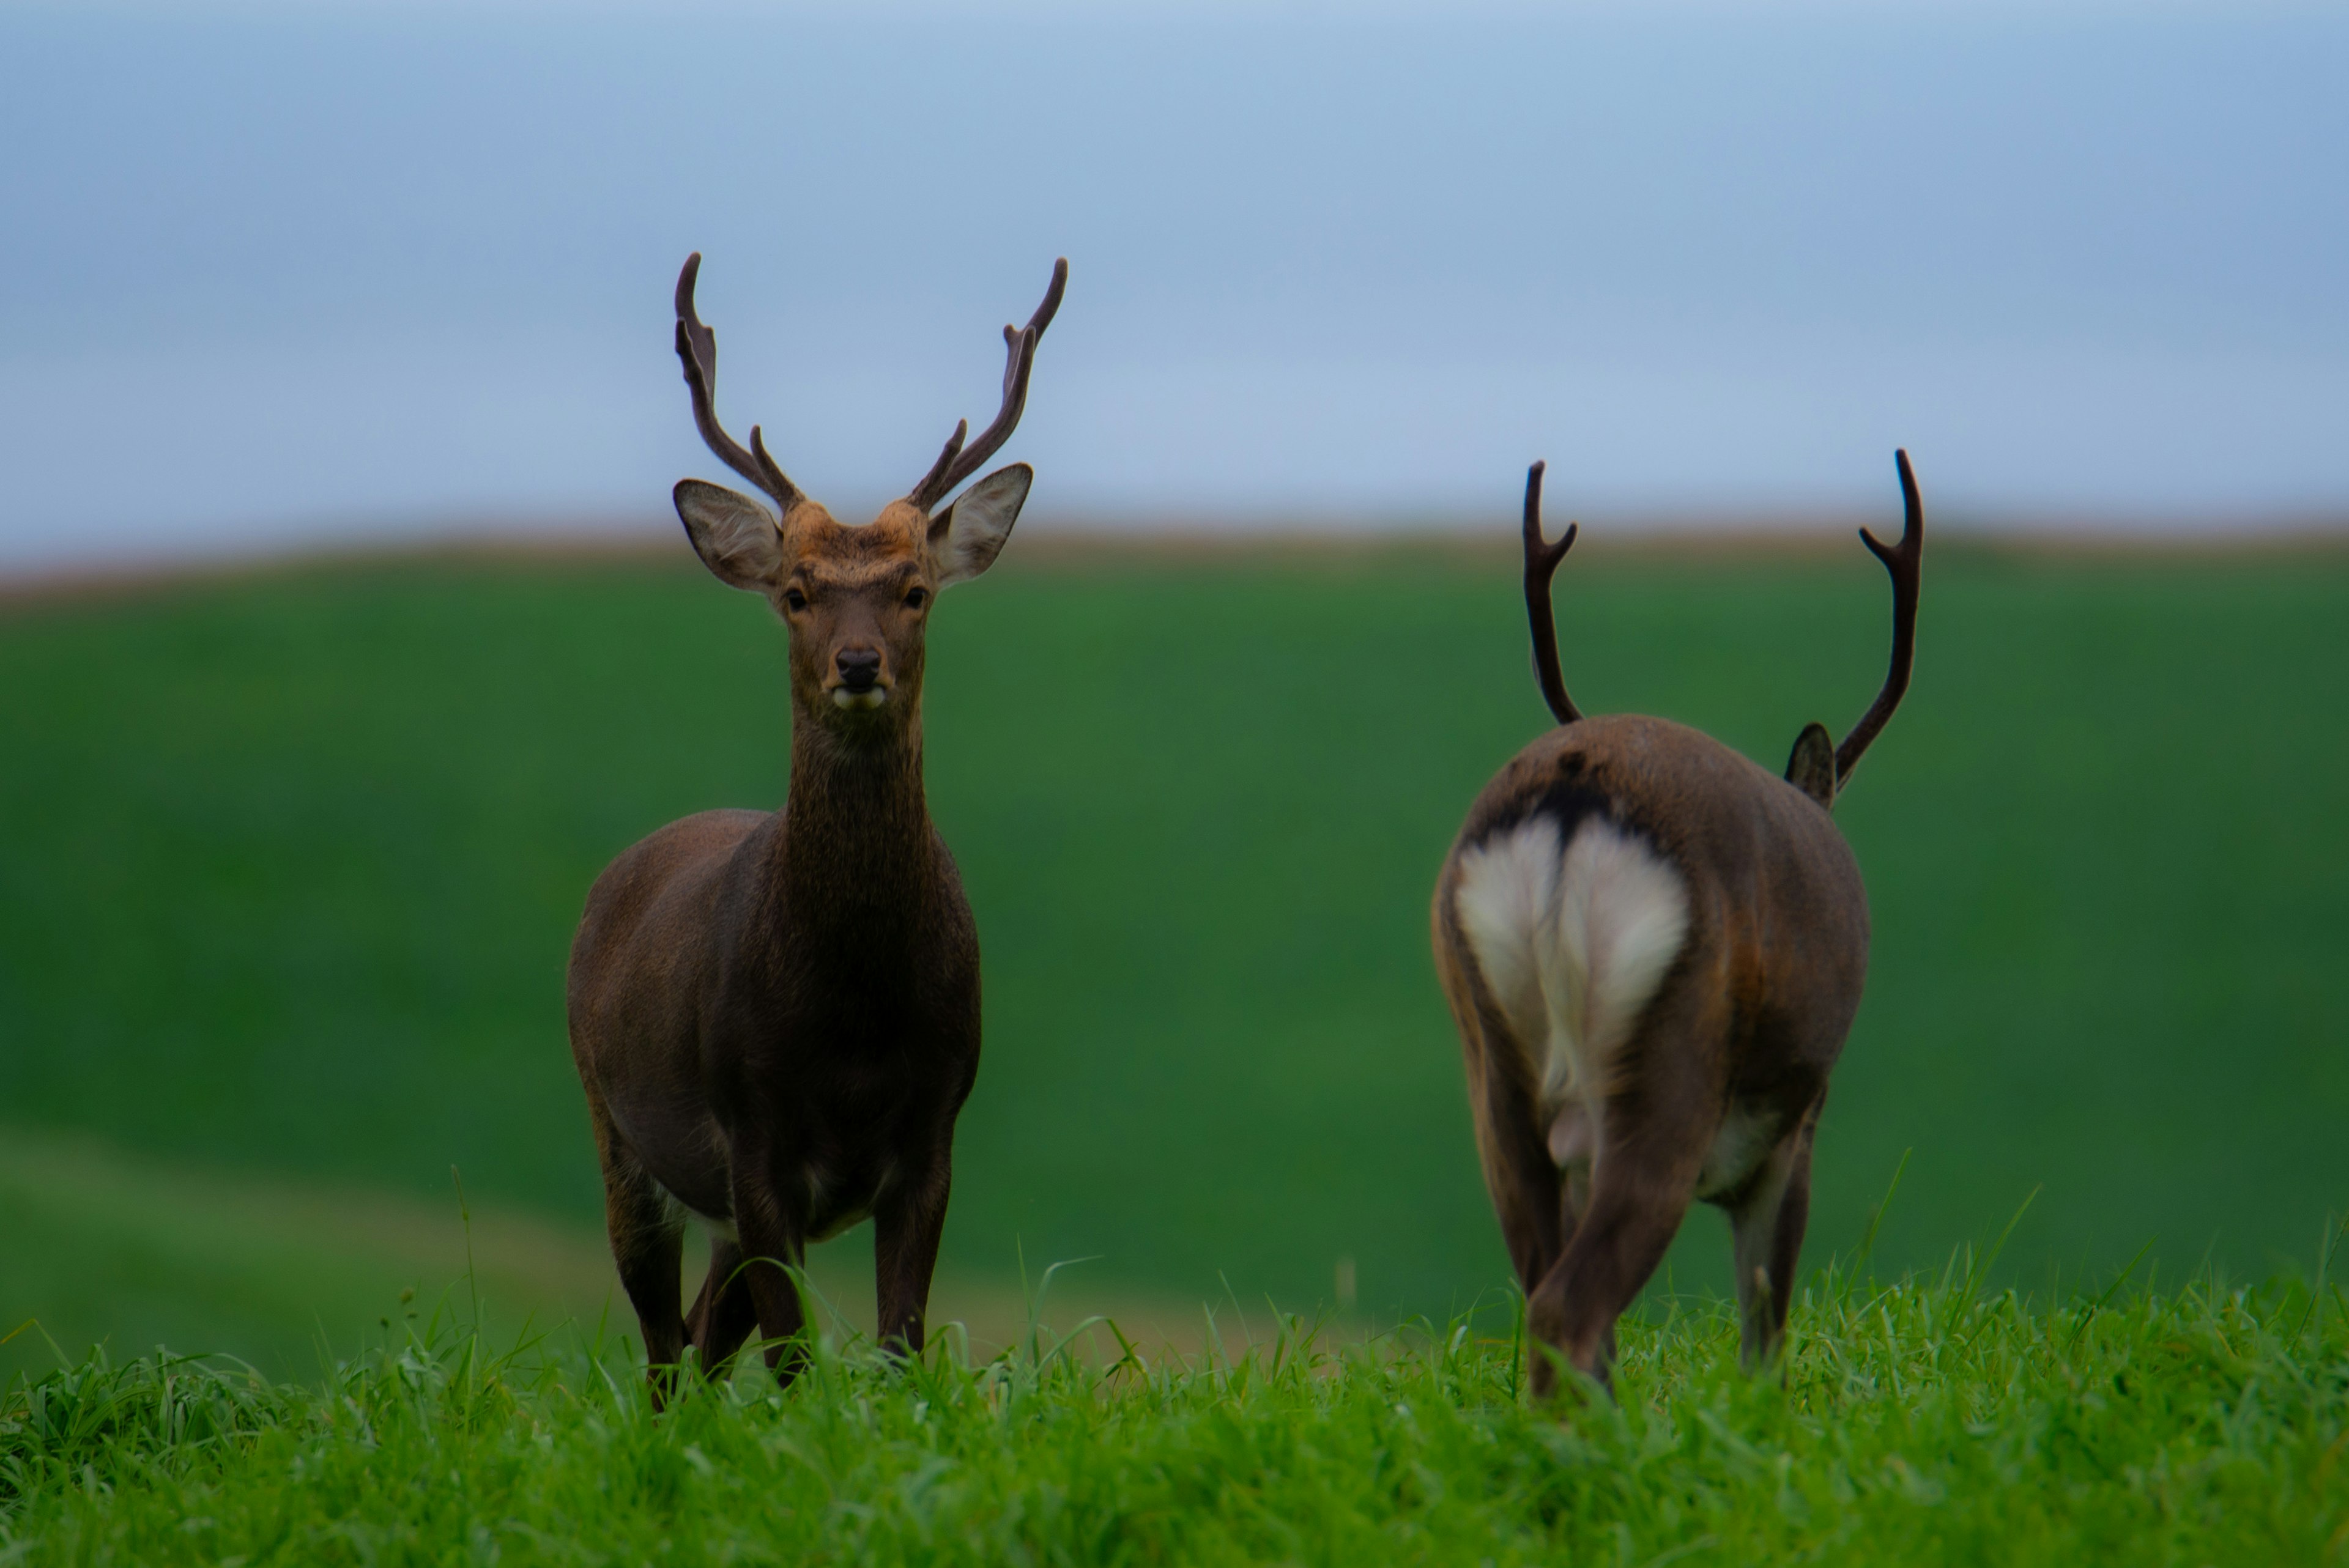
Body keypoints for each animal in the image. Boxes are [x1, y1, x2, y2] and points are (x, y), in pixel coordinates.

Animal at [573, 251, 1071, 1399]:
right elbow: (797, 1357)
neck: (852, 1017)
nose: (857, 662)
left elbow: (898, 1345)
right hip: (617, 1128)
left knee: (704, 1337)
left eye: (916, 589)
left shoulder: (934, 1128)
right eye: (797, 592)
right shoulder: (750, 1129)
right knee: (662, 1348)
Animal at [1419, 453, 1917, 1399]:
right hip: (1669, 1066)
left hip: (1495, 1069)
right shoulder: (1792, 1133)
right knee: (1569, 1307)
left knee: (1547, 1301)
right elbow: (1765, 1332)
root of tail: (1577, 781)